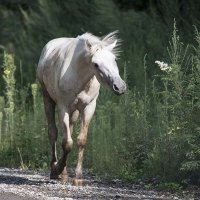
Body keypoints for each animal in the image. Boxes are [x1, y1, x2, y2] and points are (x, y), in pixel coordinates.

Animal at [36, 31, 126, 186]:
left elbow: (80, 140)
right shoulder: (63, 107)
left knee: (68, 131)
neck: (79, 76)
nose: (119, 86)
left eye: (114, 59)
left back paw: (64, 173)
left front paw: (78, 177)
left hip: (75, 111)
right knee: (53, 133)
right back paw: (56, 171)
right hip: (47, 98)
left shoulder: (89, 107)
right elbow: (67, 143)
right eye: (96, 64)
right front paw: (58, 169)